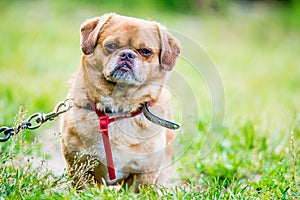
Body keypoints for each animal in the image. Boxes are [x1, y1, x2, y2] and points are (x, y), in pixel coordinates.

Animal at [59, 13, 179, 190]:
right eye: (111, 46)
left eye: (145, 51)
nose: (127, 54)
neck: (118, 108)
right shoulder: (79, 165)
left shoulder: (144, 174)